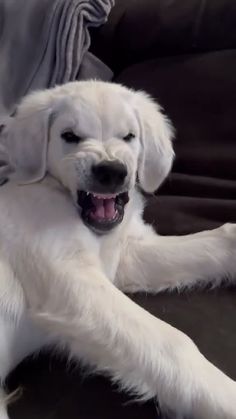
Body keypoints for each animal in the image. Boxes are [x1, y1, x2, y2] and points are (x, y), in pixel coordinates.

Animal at [0, 80, 236, 418]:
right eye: (69, 136)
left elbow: (217, 240)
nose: (111, 171)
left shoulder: (126, 257)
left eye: (129, 136)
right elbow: (172, 343)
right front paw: (227, 397)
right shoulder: (69, 280)